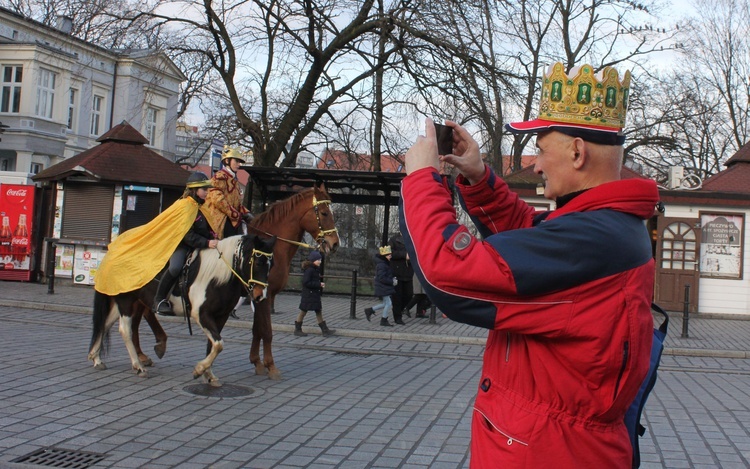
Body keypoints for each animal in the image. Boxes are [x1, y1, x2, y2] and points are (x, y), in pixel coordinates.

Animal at [88, 232, 276, 382]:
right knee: (124, 330)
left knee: (104, 324)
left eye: (271, 265)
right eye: (258, 263)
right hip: (126, 300)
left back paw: (96, 359)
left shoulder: (221, 316)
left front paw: (209, 374)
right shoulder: (202, 314)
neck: (217, 277)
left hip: (122, 300)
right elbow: (218, 344)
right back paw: (139, 366)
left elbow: (212, 345)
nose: (260, 295)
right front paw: (199, 370)